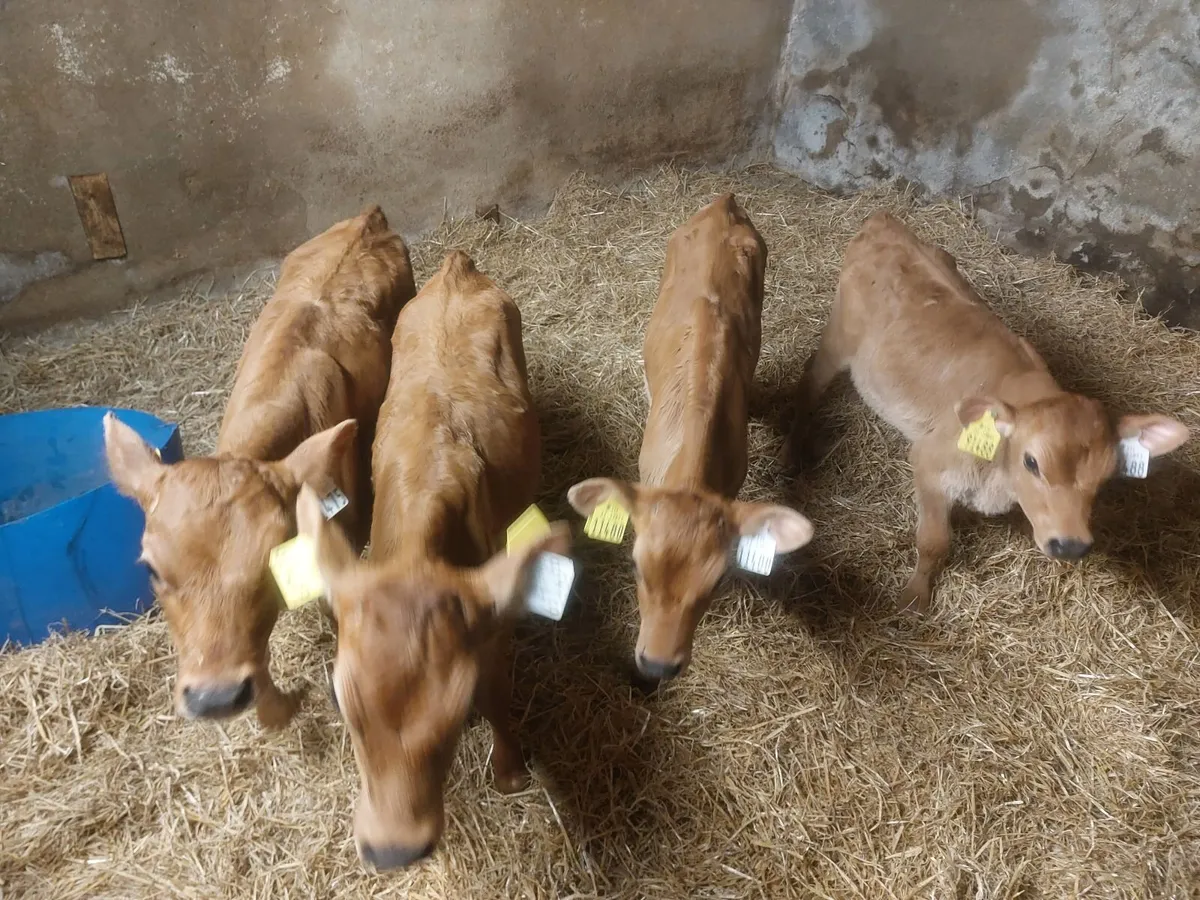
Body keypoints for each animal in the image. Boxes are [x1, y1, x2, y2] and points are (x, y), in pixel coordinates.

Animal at [298, 250, 566, 871]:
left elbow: (497, 695)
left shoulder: (491, 622)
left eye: (458, 706)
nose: (393, 848)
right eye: (339, 699)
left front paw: (511, 774)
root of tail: (455, 266)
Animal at [787, 210, 1191, 614]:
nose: (1071, 545)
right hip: (839, 338)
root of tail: (883, 221)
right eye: (1032, 462)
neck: (996, 477)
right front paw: (914, 599)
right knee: (809, 383)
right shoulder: (927, 462)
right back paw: (798, 452)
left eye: (1107, 475)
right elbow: (934, 543)